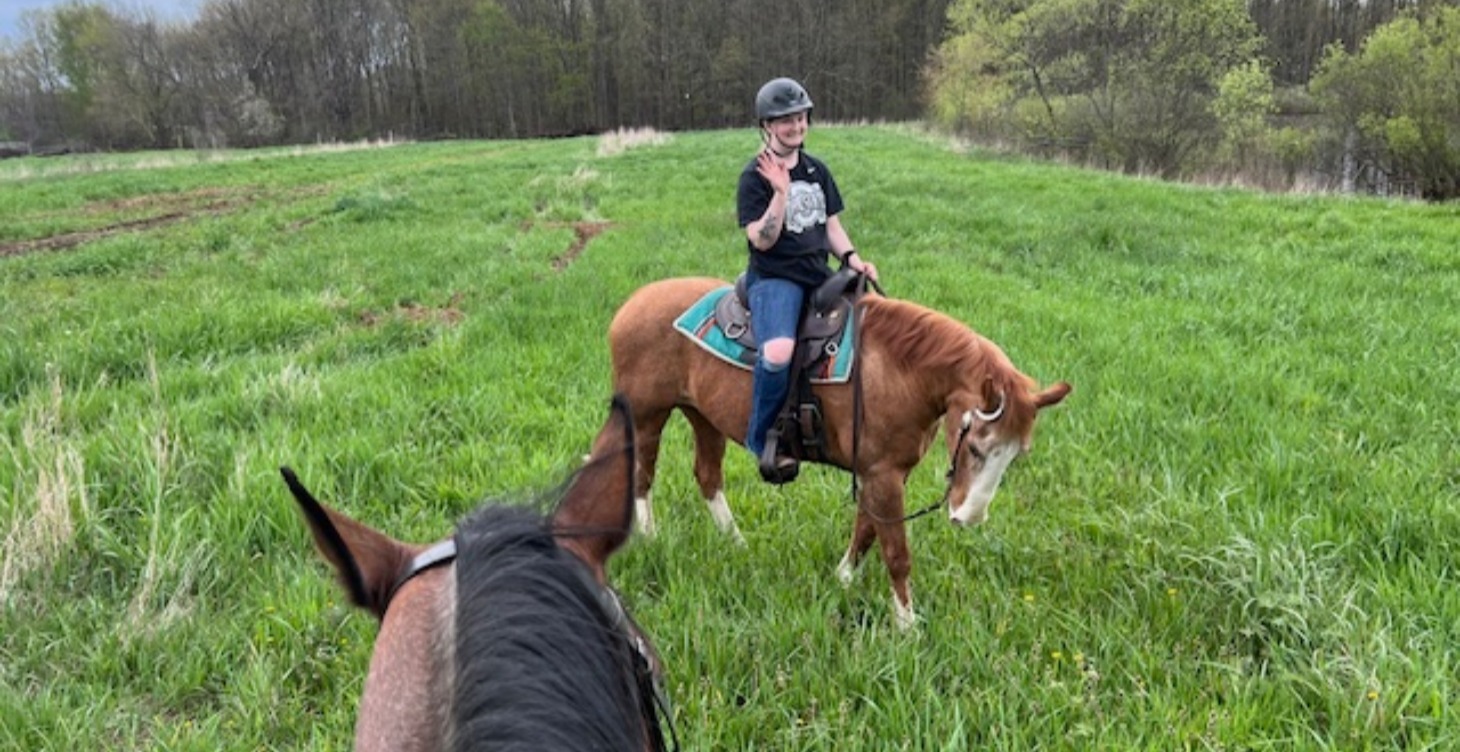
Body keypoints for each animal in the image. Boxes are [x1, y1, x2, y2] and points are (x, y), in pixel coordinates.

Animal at [608, 277, 1071, 629]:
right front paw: (907, 626)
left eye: (1015, 457)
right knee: (642, 474)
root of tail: (632, 304)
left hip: (703, 415)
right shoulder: (884, 475)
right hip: (648, 416)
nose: (969, 518)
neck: (899, 372)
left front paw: (843, 578)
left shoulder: (882, 472)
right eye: (975, 447)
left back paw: (735, 542)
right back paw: (650, 536)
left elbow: (867, 529)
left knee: (707, 476)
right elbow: (896, 552)